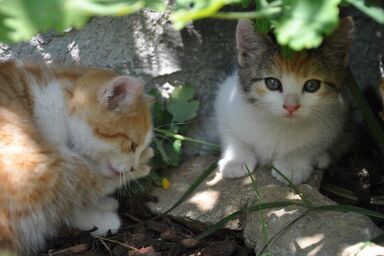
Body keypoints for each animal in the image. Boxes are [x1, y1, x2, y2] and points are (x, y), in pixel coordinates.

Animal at [214, 18, 352, 185]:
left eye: (312, 85)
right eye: (272, 83)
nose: (291, 106)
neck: (279, 124)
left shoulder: (336, 115)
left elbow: (311, 146)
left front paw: (292, 166)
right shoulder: (226, 101)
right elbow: (232, 136)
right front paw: (236, 160)